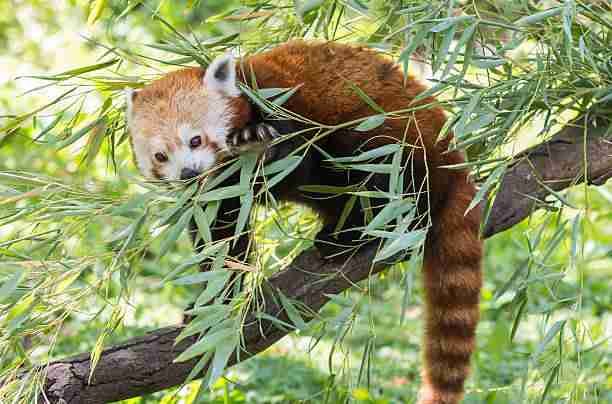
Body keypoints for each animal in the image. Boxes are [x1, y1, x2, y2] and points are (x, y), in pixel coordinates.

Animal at [128, 40, 482, 404]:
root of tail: (451, 154)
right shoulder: (217, 192)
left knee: (383, 179)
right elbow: (222, 239)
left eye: (195, 140)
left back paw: (347, 236)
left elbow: (297, 160)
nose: (188, 173)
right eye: (160, 156)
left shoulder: (283, 108)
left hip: (390, 138)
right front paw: (213, 303)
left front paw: (257, 141)